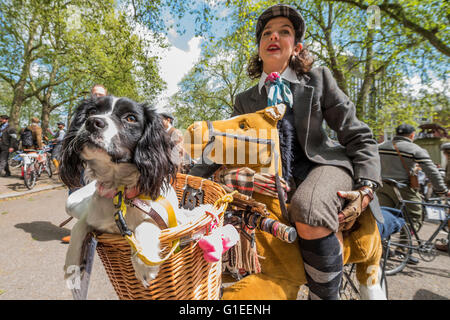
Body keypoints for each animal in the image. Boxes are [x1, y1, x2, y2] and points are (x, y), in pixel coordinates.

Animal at [60, 96, 188, 286]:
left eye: (131, 118)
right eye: (91, 111)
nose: (92, 122)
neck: (120, 191)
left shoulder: (172, 221)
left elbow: (145, 224)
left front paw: (143, 263)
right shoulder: (92, 218)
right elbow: (78, 227)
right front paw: (71, 265)